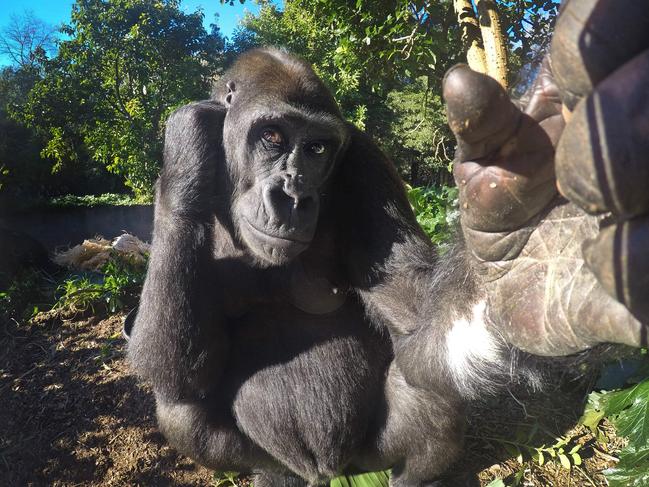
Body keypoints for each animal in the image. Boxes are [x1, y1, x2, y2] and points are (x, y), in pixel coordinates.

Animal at [126, 0, 648, 484]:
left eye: (317, 148)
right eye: (271, 136)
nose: (294, 195)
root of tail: (331, 469)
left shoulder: (367, 162)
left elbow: (414, 311)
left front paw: (534, 266)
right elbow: (174, 366)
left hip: (369, 454)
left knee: (431, 376)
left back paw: (416, 475)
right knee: (179, 402)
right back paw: (275, 474)